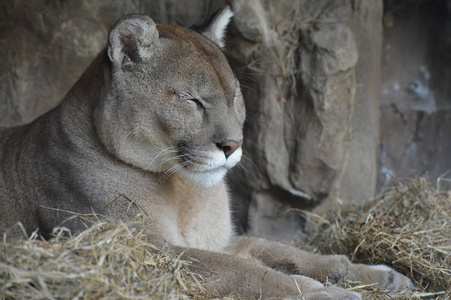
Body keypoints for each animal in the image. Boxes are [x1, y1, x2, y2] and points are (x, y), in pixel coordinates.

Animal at [0, 7, 414, 300]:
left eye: (234, 96)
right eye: (192, 100)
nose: (234, 145)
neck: (183, 191)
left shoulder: (221, 240)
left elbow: (276, 248)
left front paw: (375, 274)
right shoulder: (145, 250)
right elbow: (241, 270)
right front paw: (323, 292)